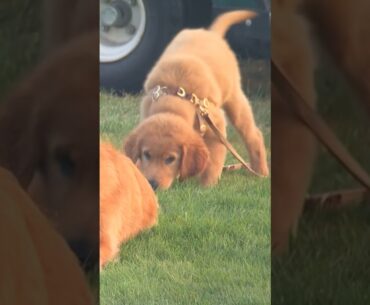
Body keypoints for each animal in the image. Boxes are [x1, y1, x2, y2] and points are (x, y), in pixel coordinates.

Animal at [124, 10, 268, 189]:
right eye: (146, 154)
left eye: (170, 159)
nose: (152, 184)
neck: (176, 95)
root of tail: (211, 33)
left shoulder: (216, 126)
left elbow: (213, 162)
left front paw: (207, 187)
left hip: (234, 98)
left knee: (254, 135)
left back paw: (261, 171)